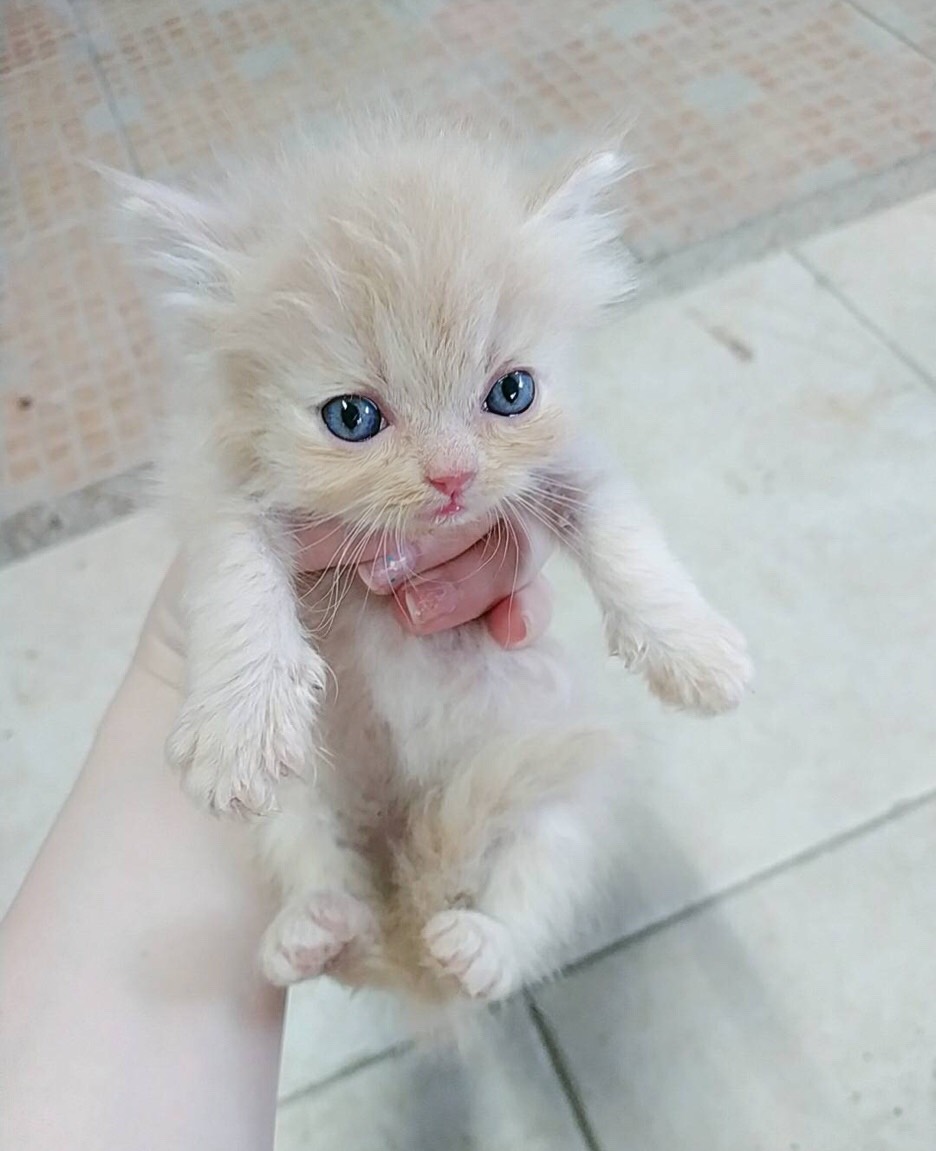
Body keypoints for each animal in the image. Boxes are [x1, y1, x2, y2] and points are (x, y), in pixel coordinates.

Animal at [118, 115, 752, 1007]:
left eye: (512, 393)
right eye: (351, 417)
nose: (453, 476)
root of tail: (402, 889)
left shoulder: (568, 465)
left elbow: (627, 536)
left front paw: (694, 650)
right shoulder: (217, 490)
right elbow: (236, 581)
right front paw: (237, 724)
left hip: (559, 790)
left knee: (528, 890)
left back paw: (477, 945)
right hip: (305, 799)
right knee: (324, 877)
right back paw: (312, 927)